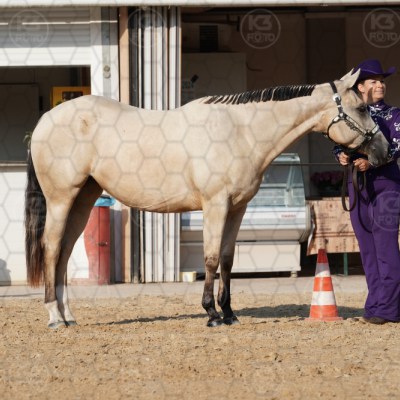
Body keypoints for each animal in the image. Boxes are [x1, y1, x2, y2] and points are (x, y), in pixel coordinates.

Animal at [25, 69, 388, 328]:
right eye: (360, 107)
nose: (384, 151)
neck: (241, 131)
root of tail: (44, 121)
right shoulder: (216, 205)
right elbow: (211, 258)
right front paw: (211, 313)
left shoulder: (237, 208)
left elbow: (227, 260)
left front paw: (229, 313)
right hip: (61, 198)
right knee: (52, 248)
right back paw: (54, 317)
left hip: (83, 199)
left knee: (64, 252)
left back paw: (69, 316)